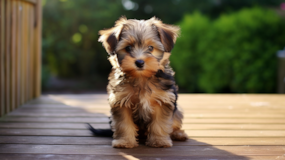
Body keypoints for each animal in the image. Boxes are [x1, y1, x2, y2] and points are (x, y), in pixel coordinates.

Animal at [95, 16, 189, 148]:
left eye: (150, 48)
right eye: (128, 48)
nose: (139, 62)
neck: (142, 78)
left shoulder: (163, 100)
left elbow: (161, 123)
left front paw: (159, 141)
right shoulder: (121, 101)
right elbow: (123, 124)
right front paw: (124, 141)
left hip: (177, 112)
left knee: (175, 121)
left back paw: (178, 134)